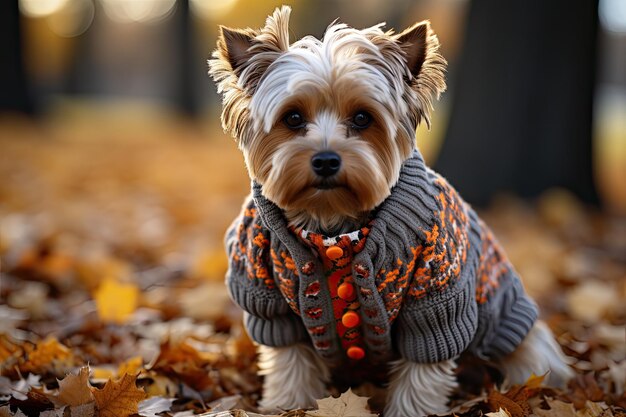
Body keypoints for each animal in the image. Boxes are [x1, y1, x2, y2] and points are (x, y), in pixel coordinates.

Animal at [208, 7, 572, 416]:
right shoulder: (265, 293)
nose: (326, 160)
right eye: (293, 118)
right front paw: (287, 404)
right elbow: (289, 360)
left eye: (363, 118)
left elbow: (422, 367)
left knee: (529, 354)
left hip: (503, 320)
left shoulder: (437, 297)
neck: (332, 221)